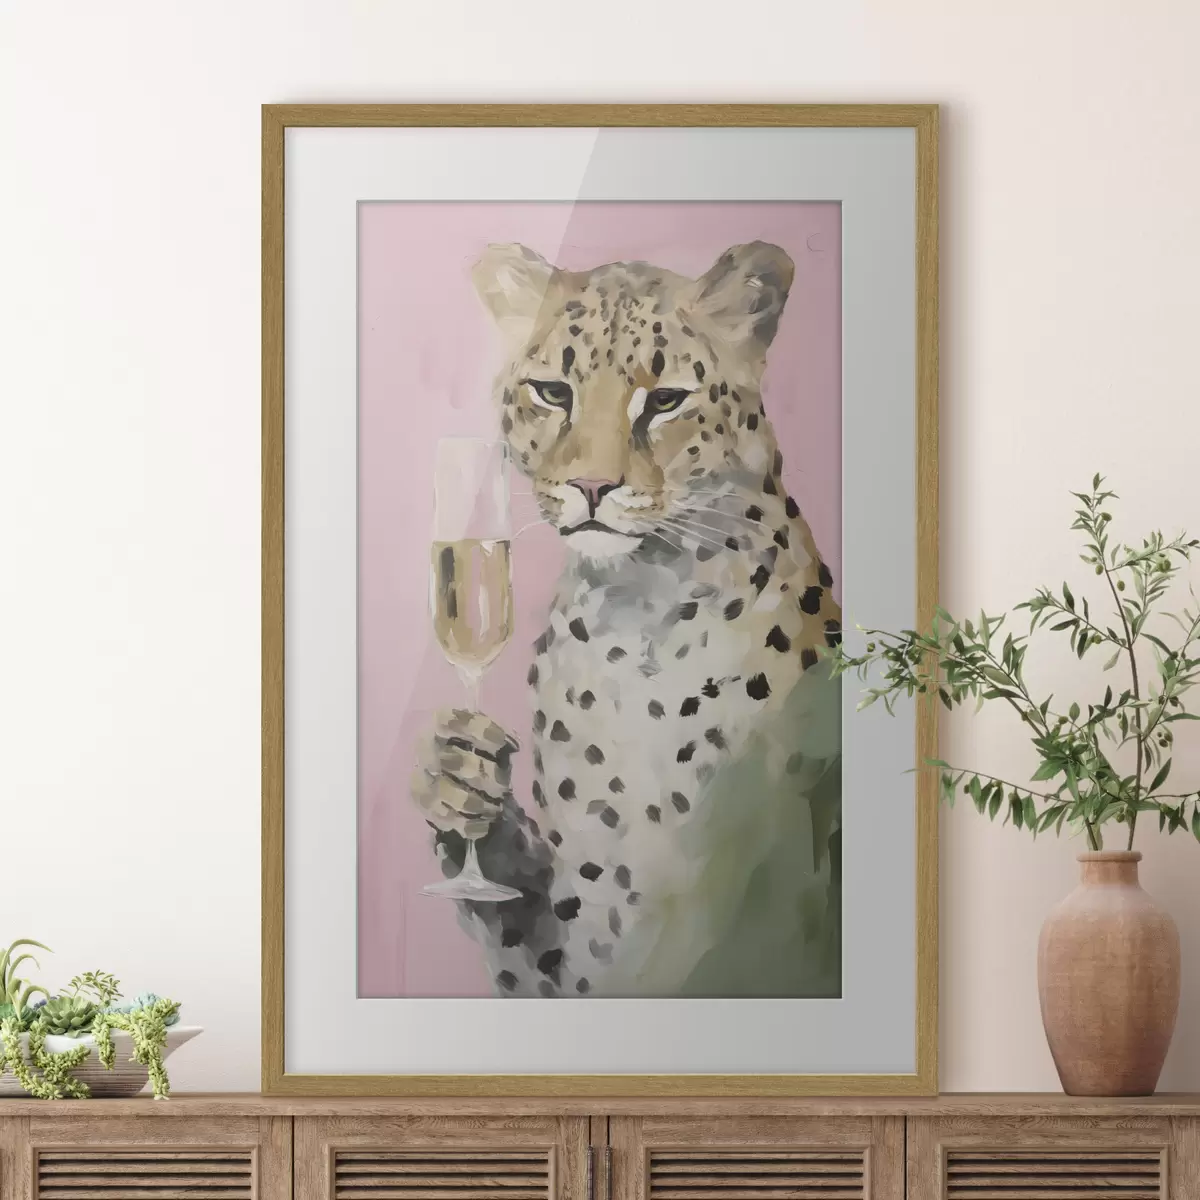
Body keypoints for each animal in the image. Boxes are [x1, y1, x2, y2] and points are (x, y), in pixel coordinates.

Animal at [412, 240, 843, 998]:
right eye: (554, 392)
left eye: (665, 400)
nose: (591, 487)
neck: (635, 615)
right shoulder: (580, 937)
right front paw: (457, 781)